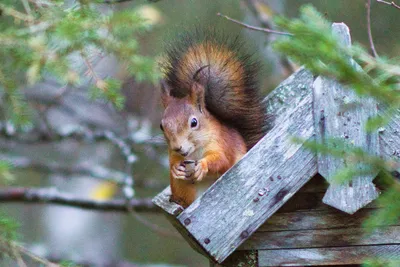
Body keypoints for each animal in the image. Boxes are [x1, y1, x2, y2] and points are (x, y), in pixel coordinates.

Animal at [159, 30, 268, 207]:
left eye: (194, 122)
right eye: (161, 126)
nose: (178, 147)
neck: (195, 151)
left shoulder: (221, 143)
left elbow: (222, 161)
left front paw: (203, 166)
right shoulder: (173, 153)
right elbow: (173, 161)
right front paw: (175, 167)